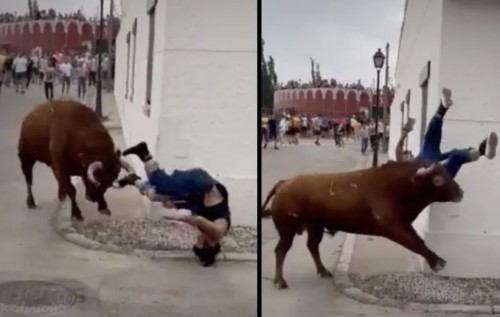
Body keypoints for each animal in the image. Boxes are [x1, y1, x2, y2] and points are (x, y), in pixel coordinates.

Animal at [264, 162, 462, 288]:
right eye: (437, 180)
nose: (460, 192)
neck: (399, 186)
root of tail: (284, 183)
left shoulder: (404, 225)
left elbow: (419, 241)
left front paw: (436, 260)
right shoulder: (393, 228)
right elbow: (414, 243)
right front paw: (437, 263)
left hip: (315, 228)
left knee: (312, 246)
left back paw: (323, 271)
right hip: (287, 231)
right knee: (281, 250)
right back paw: (279, 281)